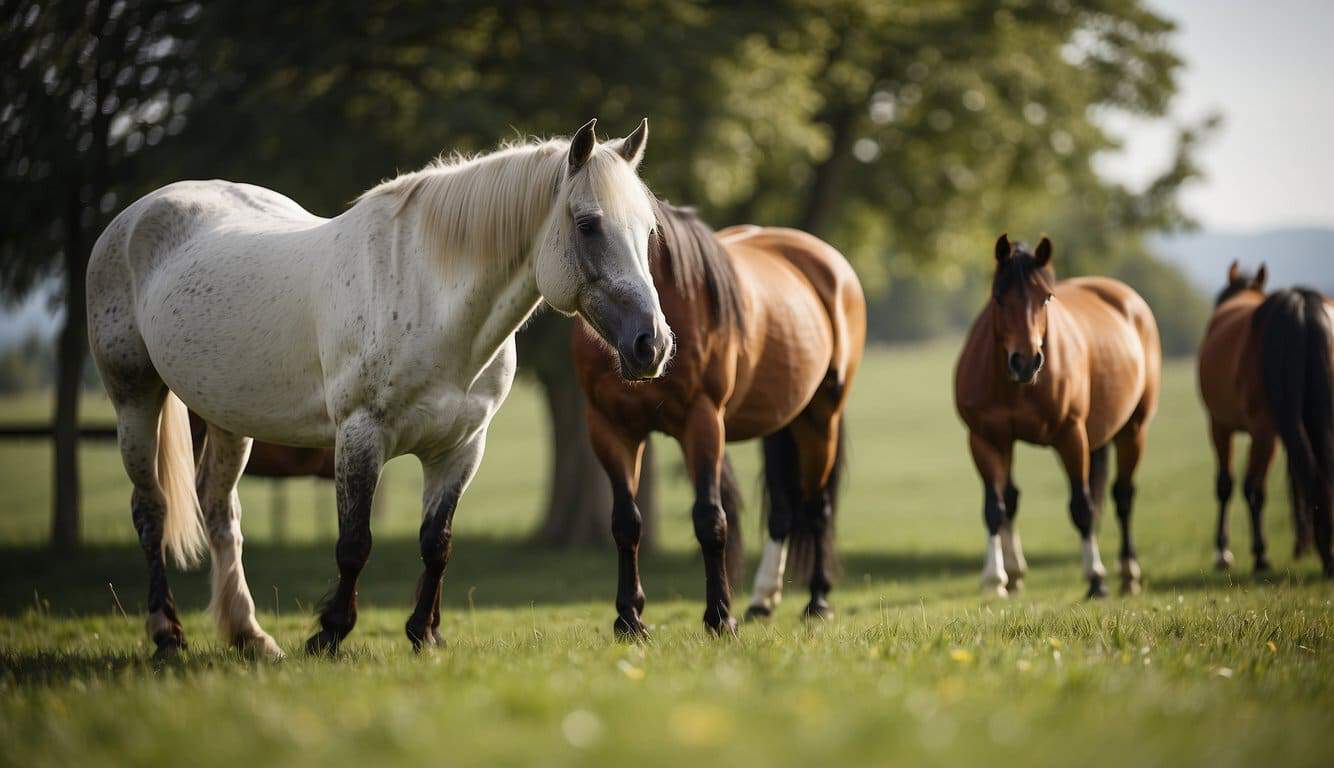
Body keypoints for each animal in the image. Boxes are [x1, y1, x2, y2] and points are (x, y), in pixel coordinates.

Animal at [86, 120, 667, 661]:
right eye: (588, 225)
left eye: (647, 231)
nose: (652, 345)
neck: (429, 299)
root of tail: (133, 216)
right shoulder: (360, 434)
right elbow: (354, 543)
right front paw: (329, 634)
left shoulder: (460, 447)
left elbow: (437, 544)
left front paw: (423, 634)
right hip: (134, 397)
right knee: (151, 510)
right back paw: (167, 634)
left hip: (229, 418)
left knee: (219, 511)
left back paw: (250, 636)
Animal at [573, 200, 864, 634]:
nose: (647, 346)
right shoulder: (609, 427)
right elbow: (625, 522)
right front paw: (629, 618)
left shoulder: (703, 421)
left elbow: (710, 518)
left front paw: (720, 617)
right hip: (780, 421)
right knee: (784, 511)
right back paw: (763, 599)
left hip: (820, 419)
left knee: (816, 507)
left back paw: (817, 600)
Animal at [960, 234, 1157, 600]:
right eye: (999, 298)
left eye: (1047, 297)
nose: (1026, 361)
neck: (1016, 387)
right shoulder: (987, 439)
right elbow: (996, 507)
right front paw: (996, 579)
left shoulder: (1070, 435)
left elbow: (1081, 506)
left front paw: (1095, 578)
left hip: (1133, 429)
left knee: (1122, 496)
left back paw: (1128, 572)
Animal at [1200, 261, 1334, 573]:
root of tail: (1299, 308)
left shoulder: (1220, 424)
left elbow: (1227, 485)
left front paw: (1225, 551)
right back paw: (1324, 550)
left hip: (1262, 430)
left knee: (1254, 486)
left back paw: (1264, 554)